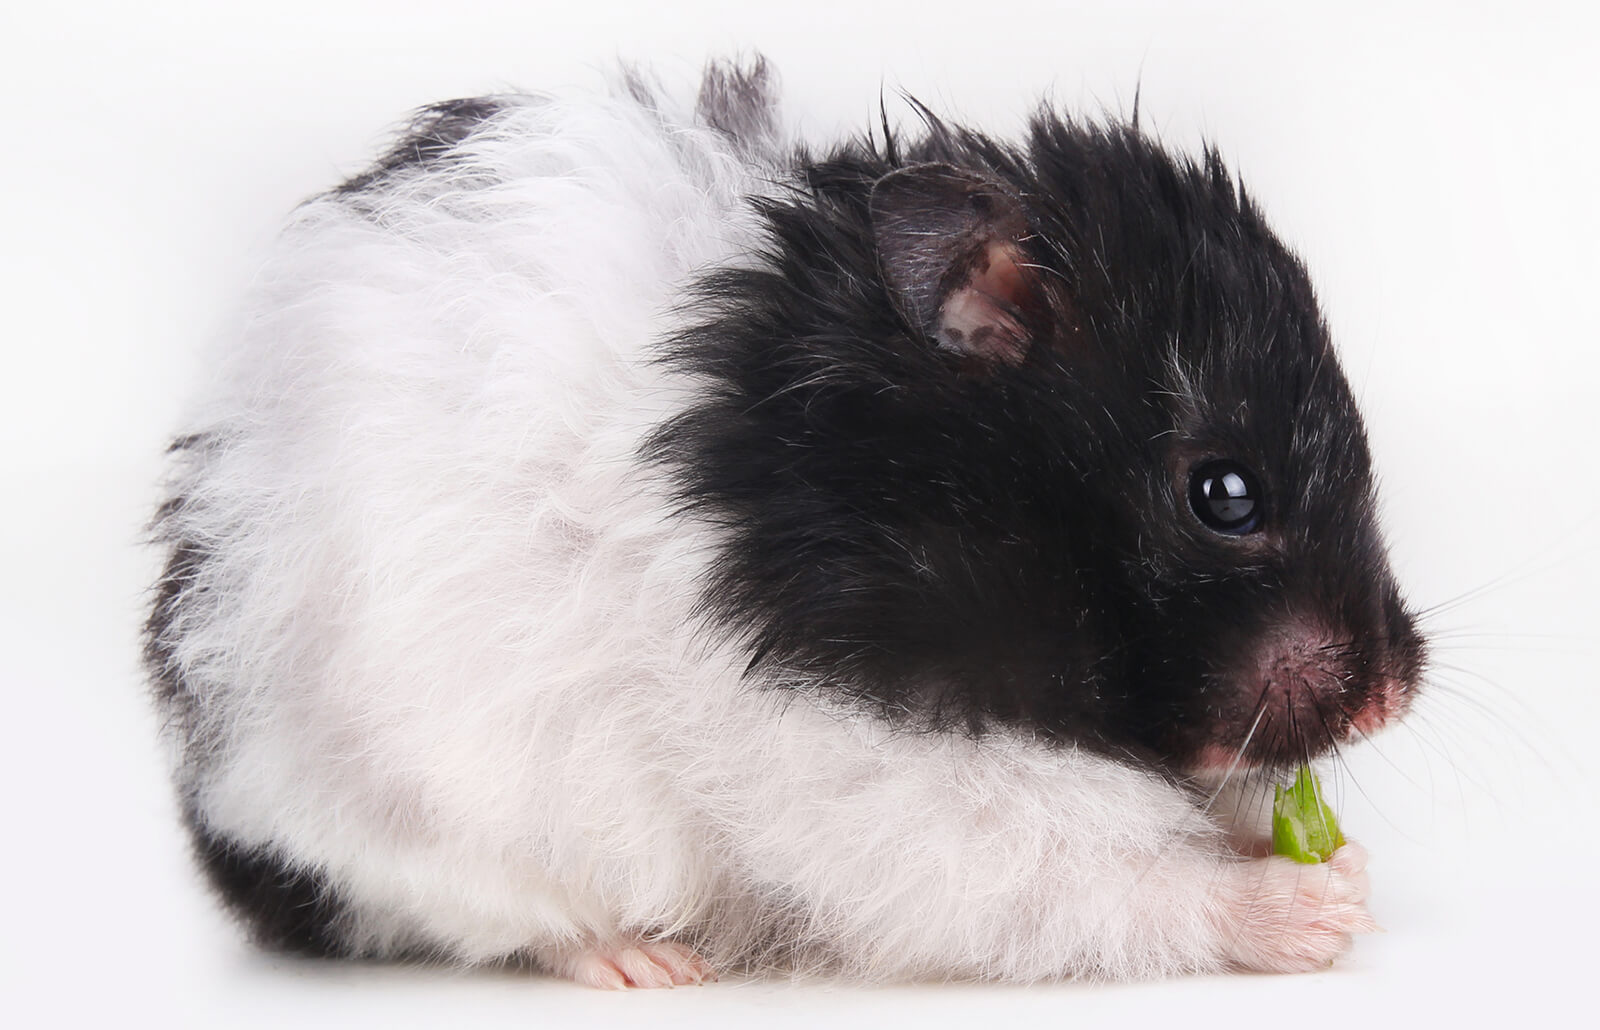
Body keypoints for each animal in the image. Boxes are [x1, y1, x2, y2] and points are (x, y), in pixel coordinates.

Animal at [144, 56, 1426, 987]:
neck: (899, 492)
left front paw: (1349, 866)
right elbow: (1091, 875)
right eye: (1223, 494)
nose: (1391, 696)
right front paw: (1314, 905)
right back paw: (644, 966)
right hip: (407, 814)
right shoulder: (855, 771)